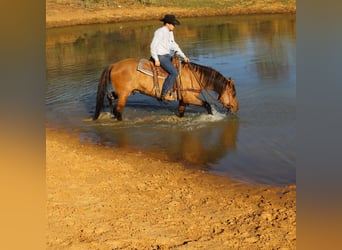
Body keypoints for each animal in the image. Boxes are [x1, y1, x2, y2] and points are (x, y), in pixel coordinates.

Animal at [93, 55, 238, 120]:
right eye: (233, 94)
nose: (236, 108)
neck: (193, 75)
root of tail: (113, 65)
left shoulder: (183, 100)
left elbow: (180, 113)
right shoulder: (189, 97)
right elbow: (207, 105)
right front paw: (212, 116)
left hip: (123, 92)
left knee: (110, 97)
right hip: (124, 94)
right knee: (119, 110)